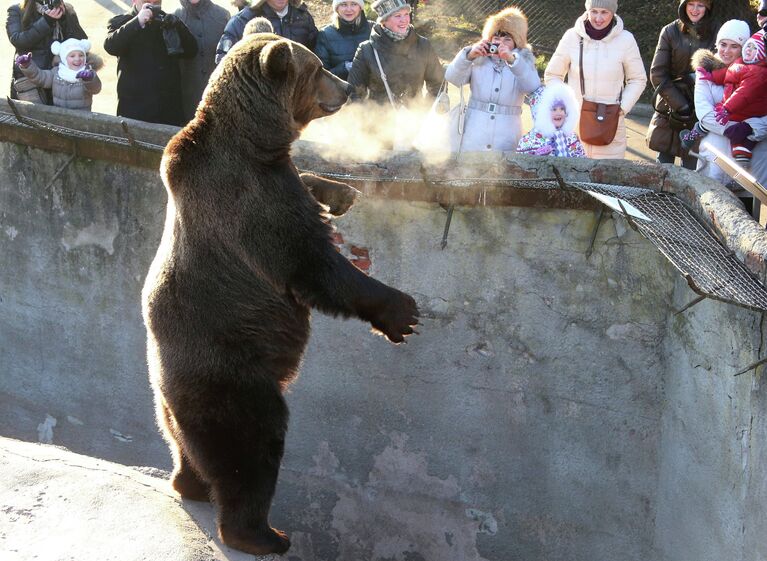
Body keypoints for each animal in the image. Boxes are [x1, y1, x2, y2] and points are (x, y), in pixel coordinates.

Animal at [142, 32, 420, 552]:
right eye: (316, 68)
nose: (347, 87)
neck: (256, 142)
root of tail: (169, 386)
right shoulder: (254, 204)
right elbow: (314, 265)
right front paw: (402, 312)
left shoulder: (274, 174)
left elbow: (310, 187)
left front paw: (341, 192)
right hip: (233, 375)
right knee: (252, 448)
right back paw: (262, 534)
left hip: (171, 404)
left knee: (184, 445)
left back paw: (189, 484)